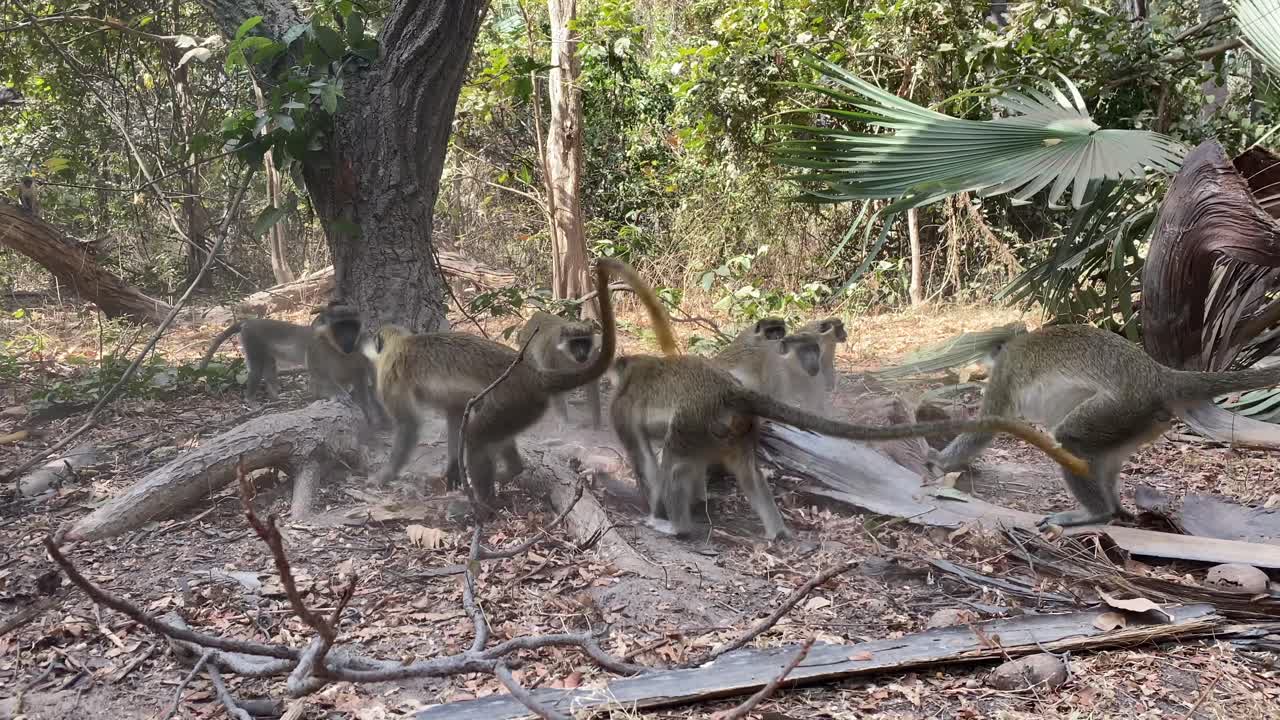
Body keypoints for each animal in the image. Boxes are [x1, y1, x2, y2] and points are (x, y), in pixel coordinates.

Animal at [198, 301, 384, 425]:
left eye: (352, 326)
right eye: (341, 327)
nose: (348, 338)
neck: (335, 347)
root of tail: (249, 322)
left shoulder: (362, 342)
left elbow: (361, 372)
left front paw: (368, 408)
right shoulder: (316, 345)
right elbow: (317, 371)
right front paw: (339, 394)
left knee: (269, 367)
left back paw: (275, 397)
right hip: (252, 340)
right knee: (257, 369)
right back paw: (251, 399)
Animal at [360, 258, 675, 511]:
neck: (401, 343)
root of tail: (532, 375)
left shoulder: (388, 376)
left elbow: (410, 425)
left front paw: (383, 476)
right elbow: (455, 412)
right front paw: (452, 470)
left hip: (514, 400)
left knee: (477, 437)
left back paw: (485, 504)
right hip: (521, 408)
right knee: (490, 434)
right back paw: (509, 472)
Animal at [926, 323, 1280, 529]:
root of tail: (1156, 375)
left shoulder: (1004, 371)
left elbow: (986, 427)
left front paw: (937, 460)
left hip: (1119, 409)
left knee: (1069, 439)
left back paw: (1096, 513)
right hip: (1135, 423)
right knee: (1103, 458)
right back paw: (1116, 508)